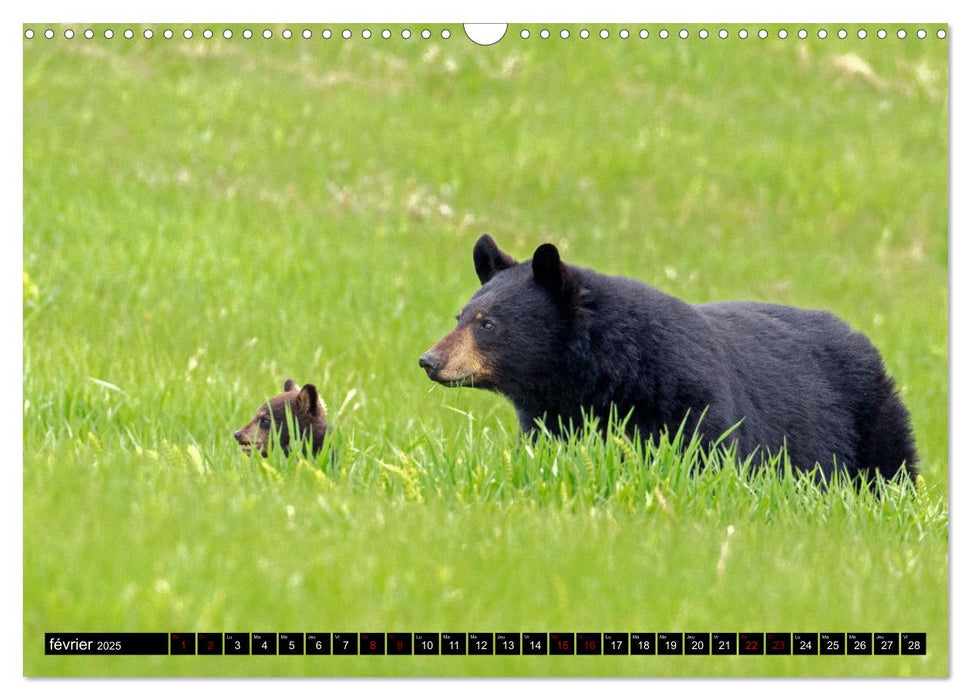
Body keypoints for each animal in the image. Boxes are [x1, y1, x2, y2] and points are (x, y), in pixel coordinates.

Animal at [420, 235, 920, 482]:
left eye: (488, 323)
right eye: (460, 315)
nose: (429, 360)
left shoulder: (690, 396)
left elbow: (707, 454)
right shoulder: (554, 414)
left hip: (873, 421)